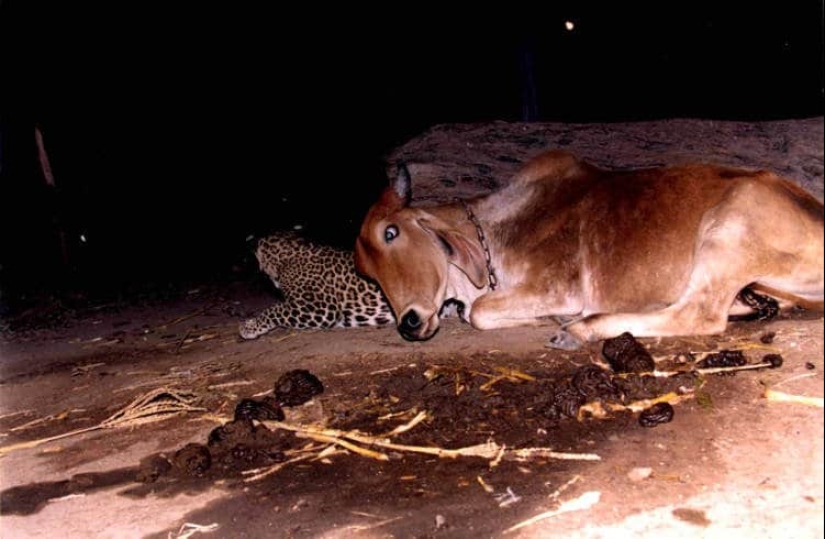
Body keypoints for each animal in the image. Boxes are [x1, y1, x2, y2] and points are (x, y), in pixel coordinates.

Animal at [354, 150, 824, 349]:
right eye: (365, 271)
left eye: (391, 232)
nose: (410, 322)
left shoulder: (556, 286)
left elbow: (479, 313)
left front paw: (552, 318)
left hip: (730, 222)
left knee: (700, 315)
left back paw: (580, 329)